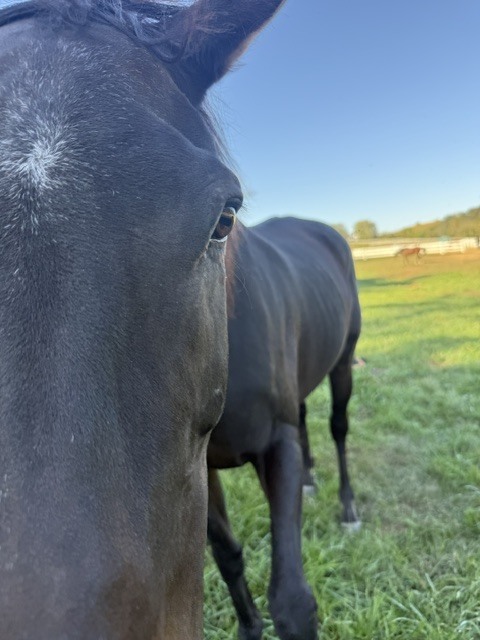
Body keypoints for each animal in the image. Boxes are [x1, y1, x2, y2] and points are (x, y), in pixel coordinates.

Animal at [207, 217, 361, 640]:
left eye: (224, 219)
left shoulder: (275, 446)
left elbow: (292, 600)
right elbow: (227, 555)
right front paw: (250, 628)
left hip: (343, 363)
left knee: (338, 428)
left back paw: (348, 507)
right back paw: (309, 479)